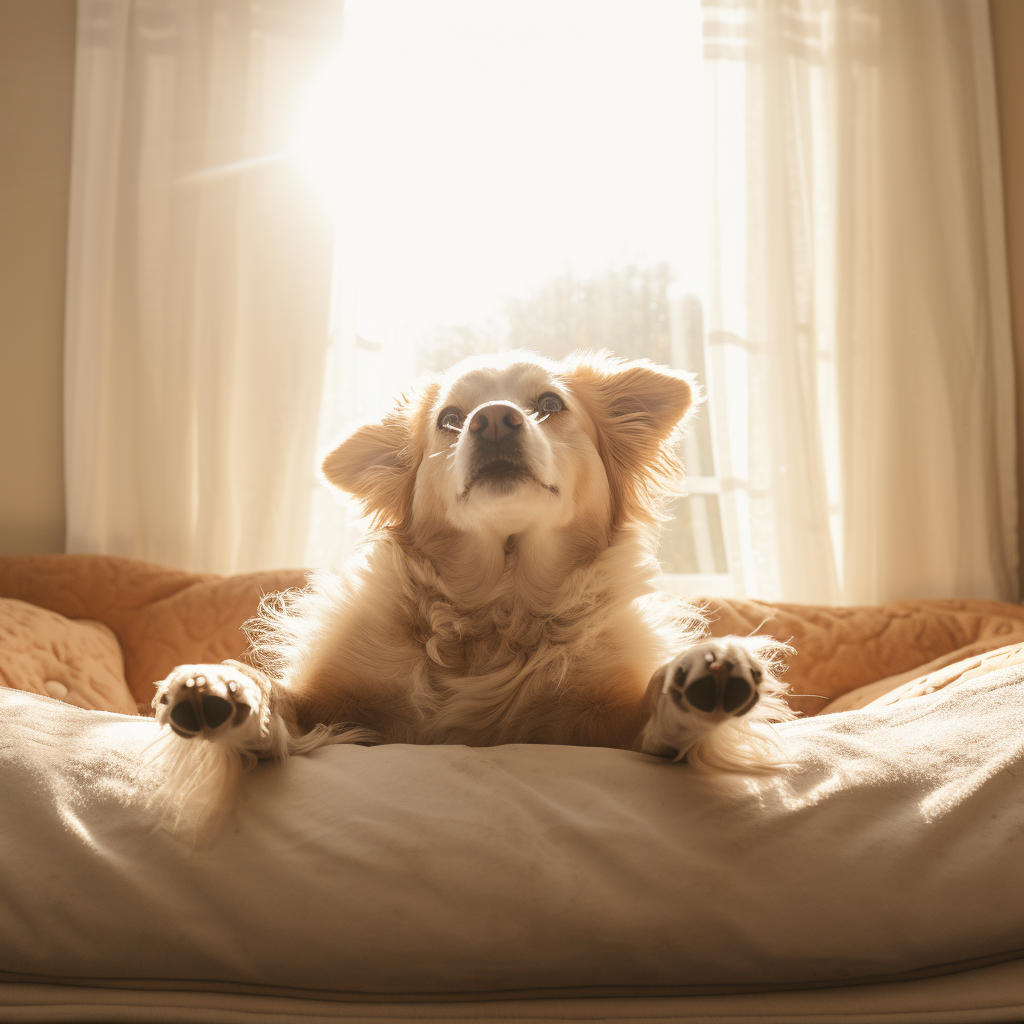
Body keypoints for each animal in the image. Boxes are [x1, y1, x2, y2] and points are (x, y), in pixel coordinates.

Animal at [149, 348, 790, 811]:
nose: (495, 420)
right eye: (450, 420)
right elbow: (272, 691)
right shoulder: (331, 709)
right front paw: (224, 686)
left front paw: (698, 676)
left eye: (550, 403)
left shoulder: (609, 730)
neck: (497, 604)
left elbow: (656, 704)